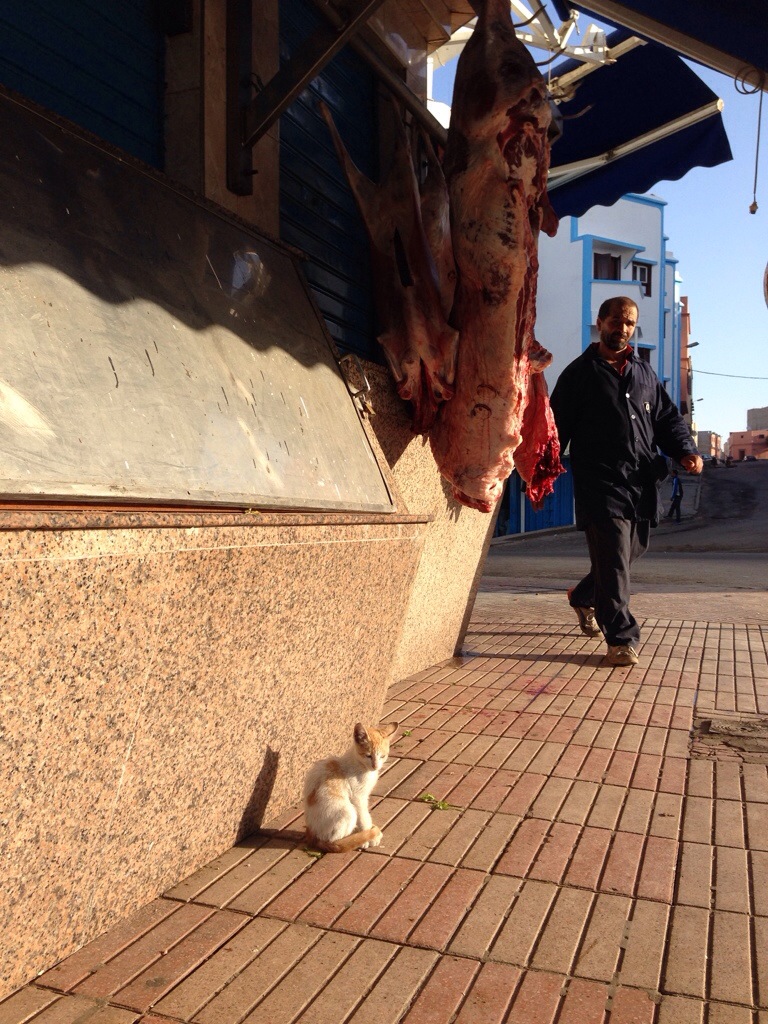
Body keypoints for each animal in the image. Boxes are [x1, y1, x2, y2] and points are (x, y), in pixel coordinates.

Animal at [303, 721, 399, 853]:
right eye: (368, 756)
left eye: (382, 756)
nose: (375, 766)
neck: (361, 766)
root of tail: (311, 834)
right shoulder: (358, 797)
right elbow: (363, 817)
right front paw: (368, 835)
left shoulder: (364, 796)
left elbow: (365, 815)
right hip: (347, 811)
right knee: (332, 840)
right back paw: (357, 839)